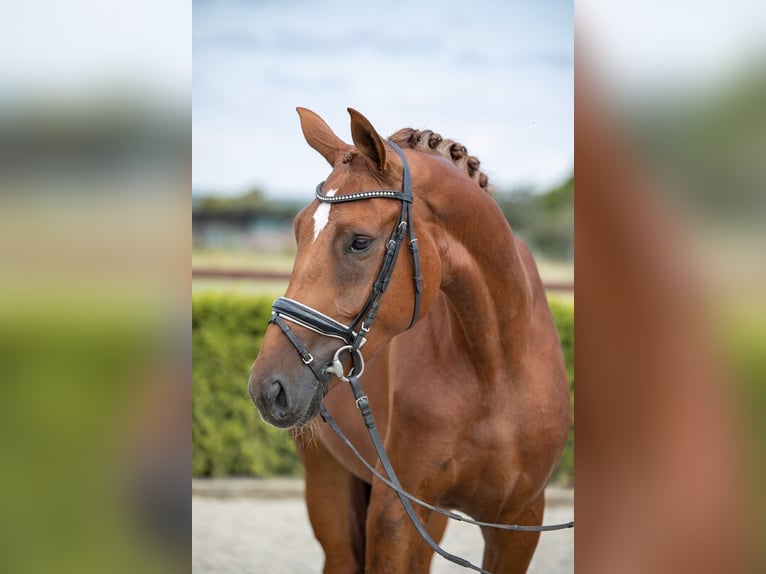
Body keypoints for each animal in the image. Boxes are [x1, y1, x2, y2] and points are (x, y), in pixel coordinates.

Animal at [249, 109, 572, 574]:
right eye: (297, 230)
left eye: (359, 241)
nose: (267, 388)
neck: (495, 368)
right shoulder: (395, 515)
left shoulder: (519, 523)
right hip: (329, 484)